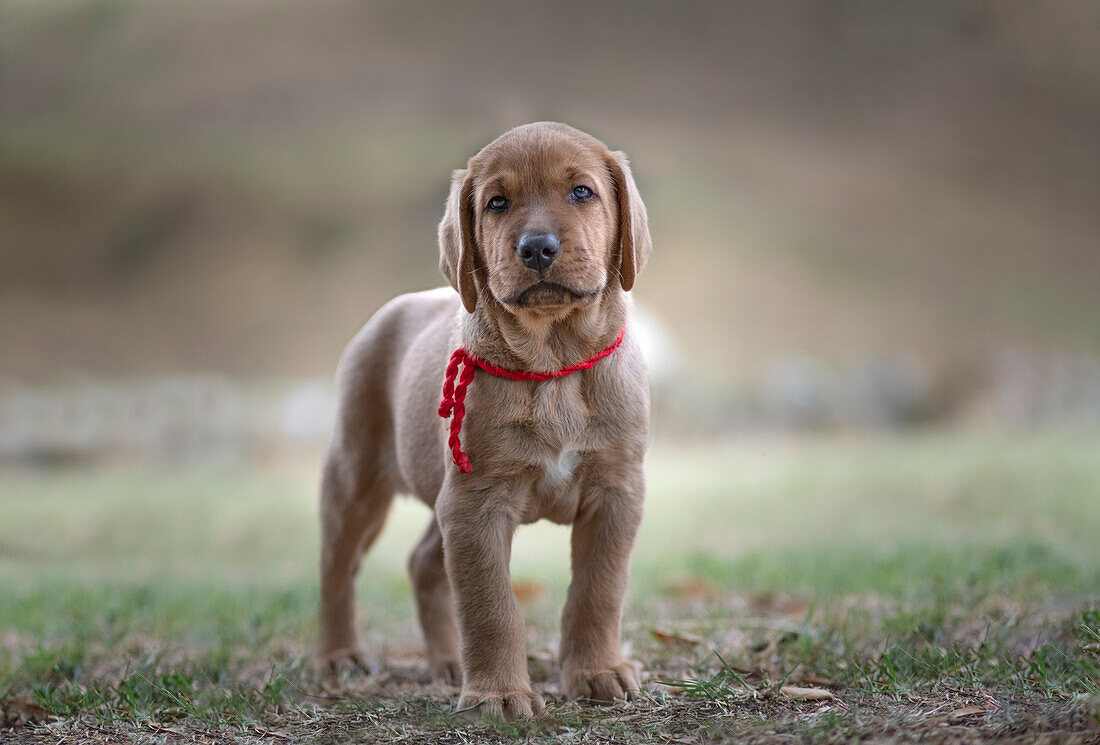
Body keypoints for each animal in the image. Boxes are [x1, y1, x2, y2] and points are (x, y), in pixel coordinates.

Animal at [314, 122, 646, 721]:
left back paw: (447, 665)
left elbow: (598, 590)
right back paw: (338, 655)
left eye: (581, 192)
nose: (536, 247)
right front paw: (499, 694)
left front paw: (598, 672)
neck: (553, 363)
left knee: (423, 562)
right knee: (337, 567)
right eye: (497, 203)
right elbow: (490, 606)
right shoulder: (477, 504)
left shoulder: (616, 491)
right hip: (357, 475)